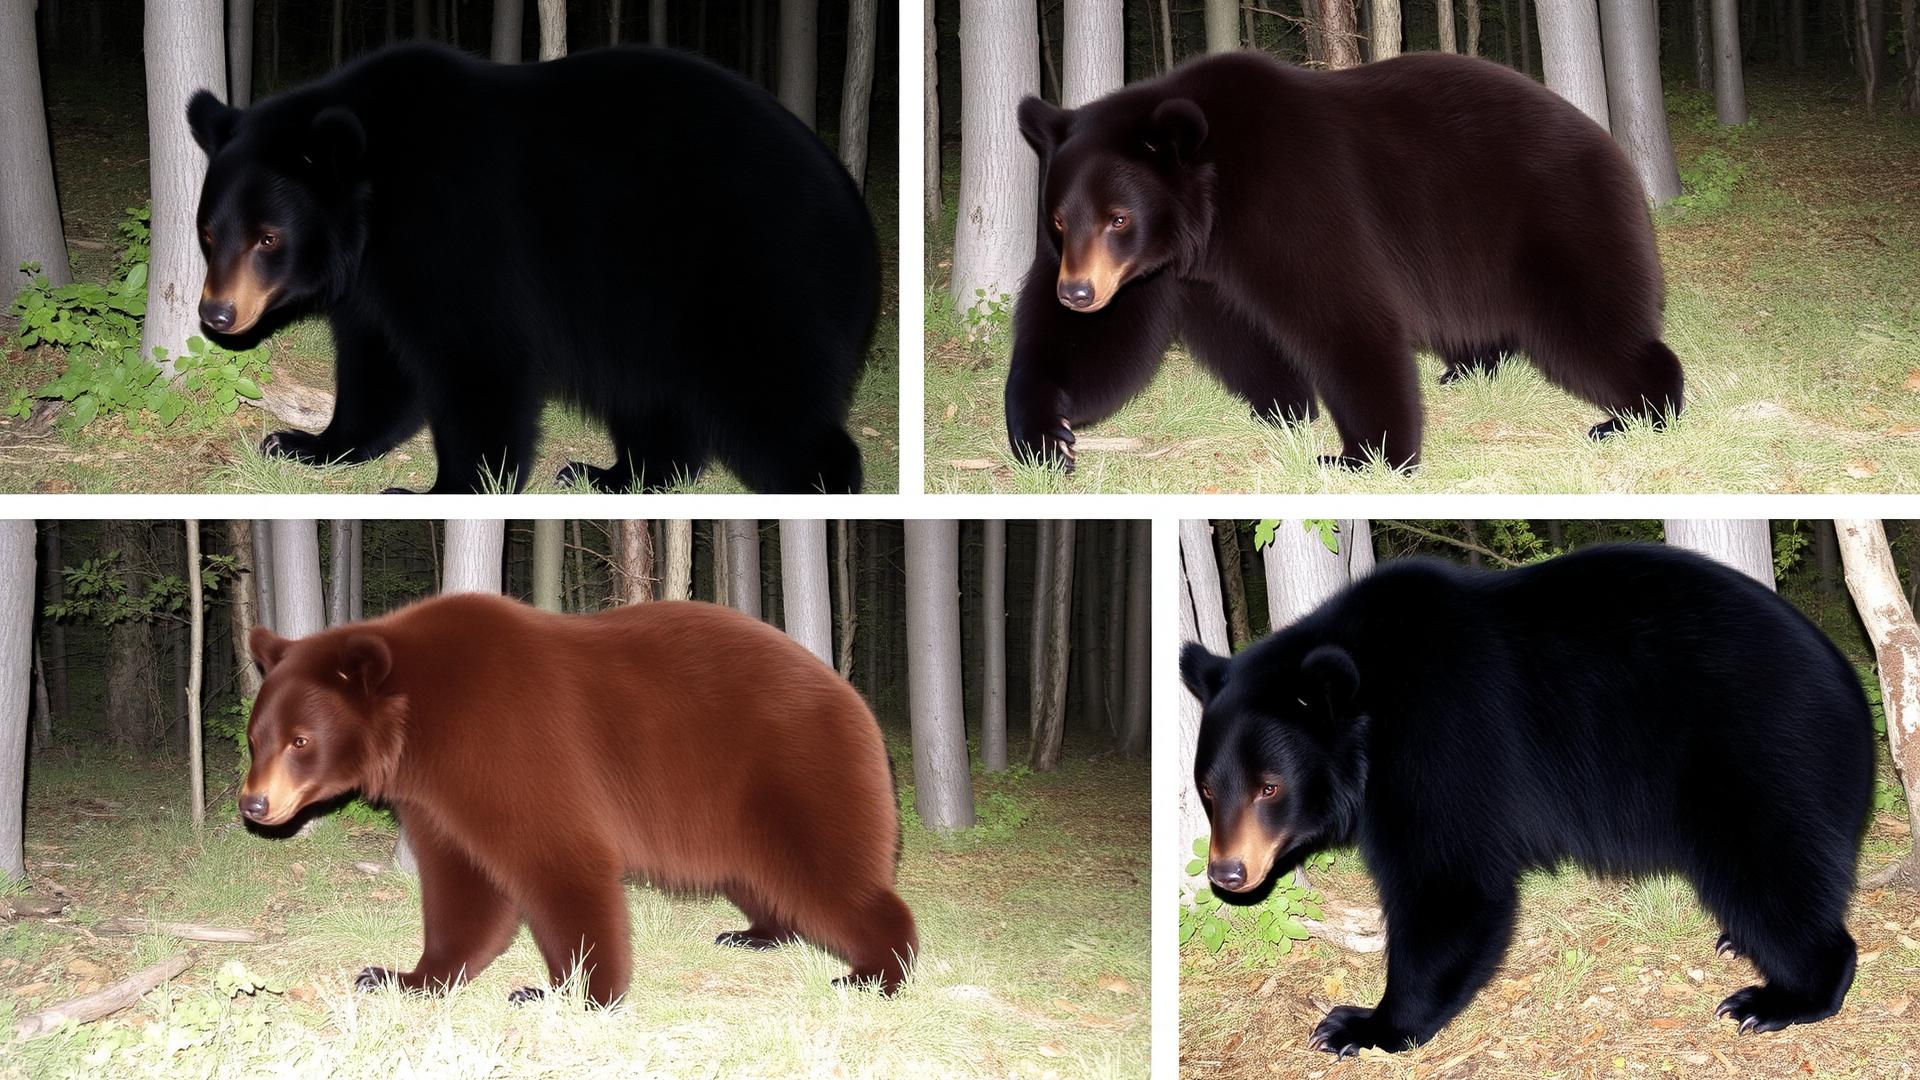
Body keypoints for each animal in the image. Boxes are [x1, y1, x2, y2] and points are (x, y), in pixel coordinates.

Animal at [187, 42, 873, 494]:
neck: (377, 202)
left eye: (269, 238)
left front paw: (447, 488)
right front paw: (306, 442)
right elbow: (377, 364)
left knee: (770, 399)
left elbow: (475, 359)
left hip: (750, 277)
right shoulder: (374, 278)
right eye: (209, 234)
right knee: (654, 400)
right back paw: (610, 475)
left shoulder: (457, 234)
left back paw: (818, 482)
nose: (216, 314)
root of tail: (854, 214)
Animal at [240, 593, 916, 1004]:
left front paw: (566, 992)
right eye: (257, 738)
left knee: (827, 874)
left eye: (301, 740)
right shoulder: (438, 799)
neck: (424, 727)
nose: (253, 805)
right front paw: (401, 975)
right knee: (761, 875)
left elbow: (558, 860)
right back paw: (756, 932)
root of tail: (853, 700)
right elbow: (462, 886)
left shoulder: (509, 745)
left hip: (795, 774)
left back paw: (875, 972)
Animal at [1009, 51, 1684, 472]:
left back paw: (1636, 411)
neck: (1212, 206)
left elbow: (1343, 314)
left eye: (1119, 217)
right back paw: (1467, 365)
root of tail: (1610, 144)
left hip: (1556, 218)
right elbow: (1101, 343)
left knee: (1589, 323)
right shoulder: (1161, 271)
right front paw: (1045, 434)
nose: (1077, 292)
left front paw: (1364, 453)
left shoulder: (1296, 199)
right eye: (1060, 220)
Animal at [1180, 543, 1872, 1055]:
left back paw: (1779, 995)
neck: (1373, 699)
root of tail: (1852, 689)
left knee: (1770, 871)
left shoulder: (1444, 736)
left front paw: (1363, 1025)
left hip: (1760, 759)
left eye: (1271, 787)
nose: (1227, 873)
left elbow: (1451, 885)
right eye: (1209, 787)